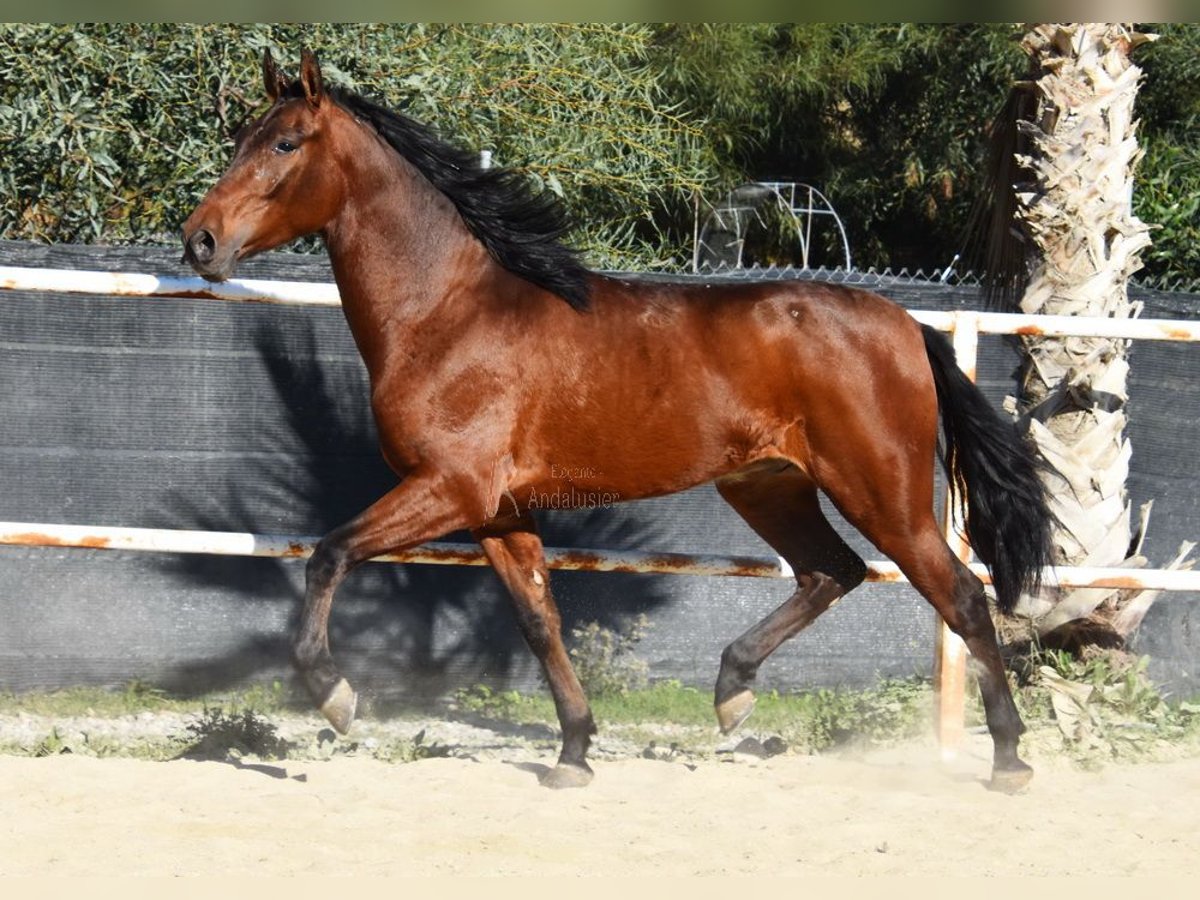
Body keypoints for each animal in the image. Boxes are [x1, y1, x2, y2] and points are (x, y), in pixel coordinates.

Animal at [182, 51, 1056, 796]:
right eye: (240, 139)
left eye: (285, 142)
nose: (200, 241)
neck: (448, 314)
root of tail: (907, 325)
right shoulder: (498, 510)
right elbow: (539, 620)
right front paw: (574, 751)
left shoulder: (450, 488)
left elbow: (328, 554)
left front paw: (334, 696)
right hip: (768, 486)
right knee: (829, 572)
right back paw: (732, 694)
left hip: (883, 492)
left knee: (959, 595)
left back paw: (1010, 760)